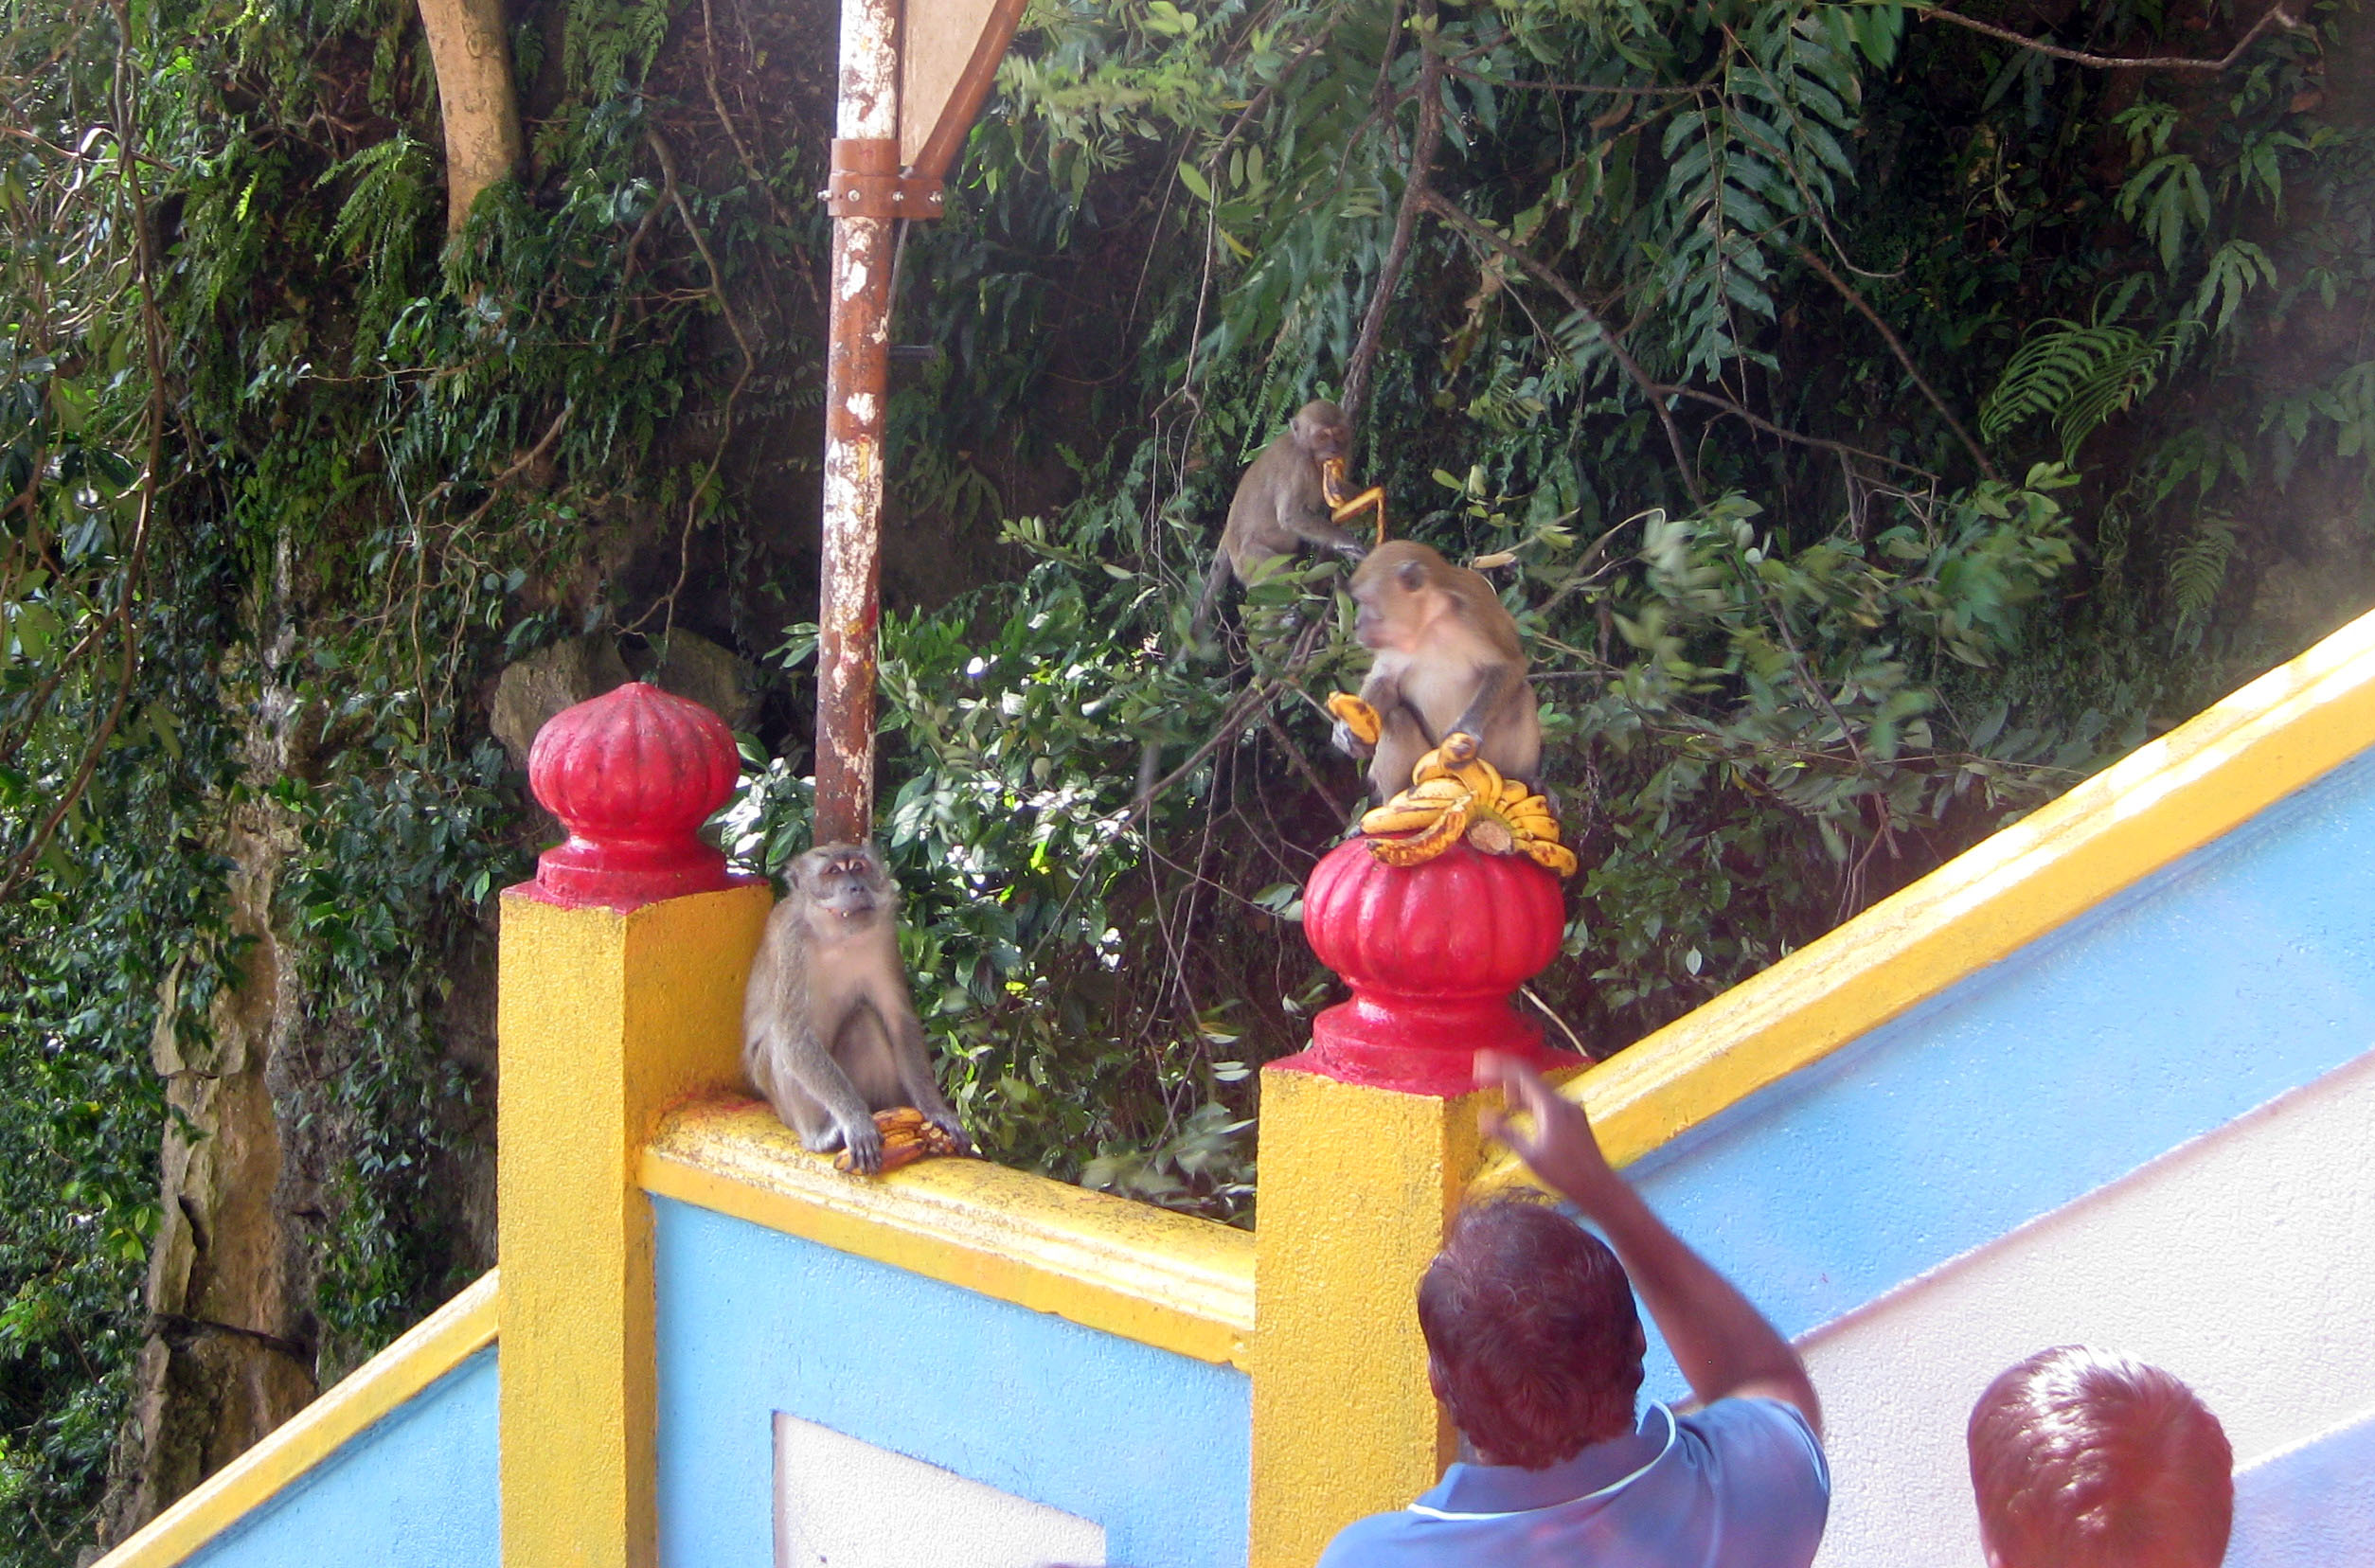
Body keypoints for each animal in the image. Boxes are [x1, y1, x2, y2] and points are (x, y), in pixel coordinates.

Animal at [742, 842, 969, 1175]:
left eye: (858, 867)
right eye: (833, 872)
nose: (856, 887)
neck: (839, 936)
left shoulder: (884, 935)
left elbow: (898, 1020)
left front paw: (935, 1110)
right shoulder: (792, 941)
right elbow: (794, 1037)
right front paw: (856, 1120)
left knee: (864, 1021)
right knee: (778, 1042)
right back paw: (821, 1135)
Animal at [1330, 540, 1542, 801]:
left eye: (1366, 601)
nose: (1358, 624)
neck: (1428, 620)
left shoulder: (1476, 609)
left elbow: (1510, 665)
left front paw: (1466, 730)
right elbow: (1386, 680)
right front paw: (1348, 733)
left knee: (1522, 695)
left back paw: (1525, 780)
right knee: (1397, 719)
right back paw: (1400, 795)